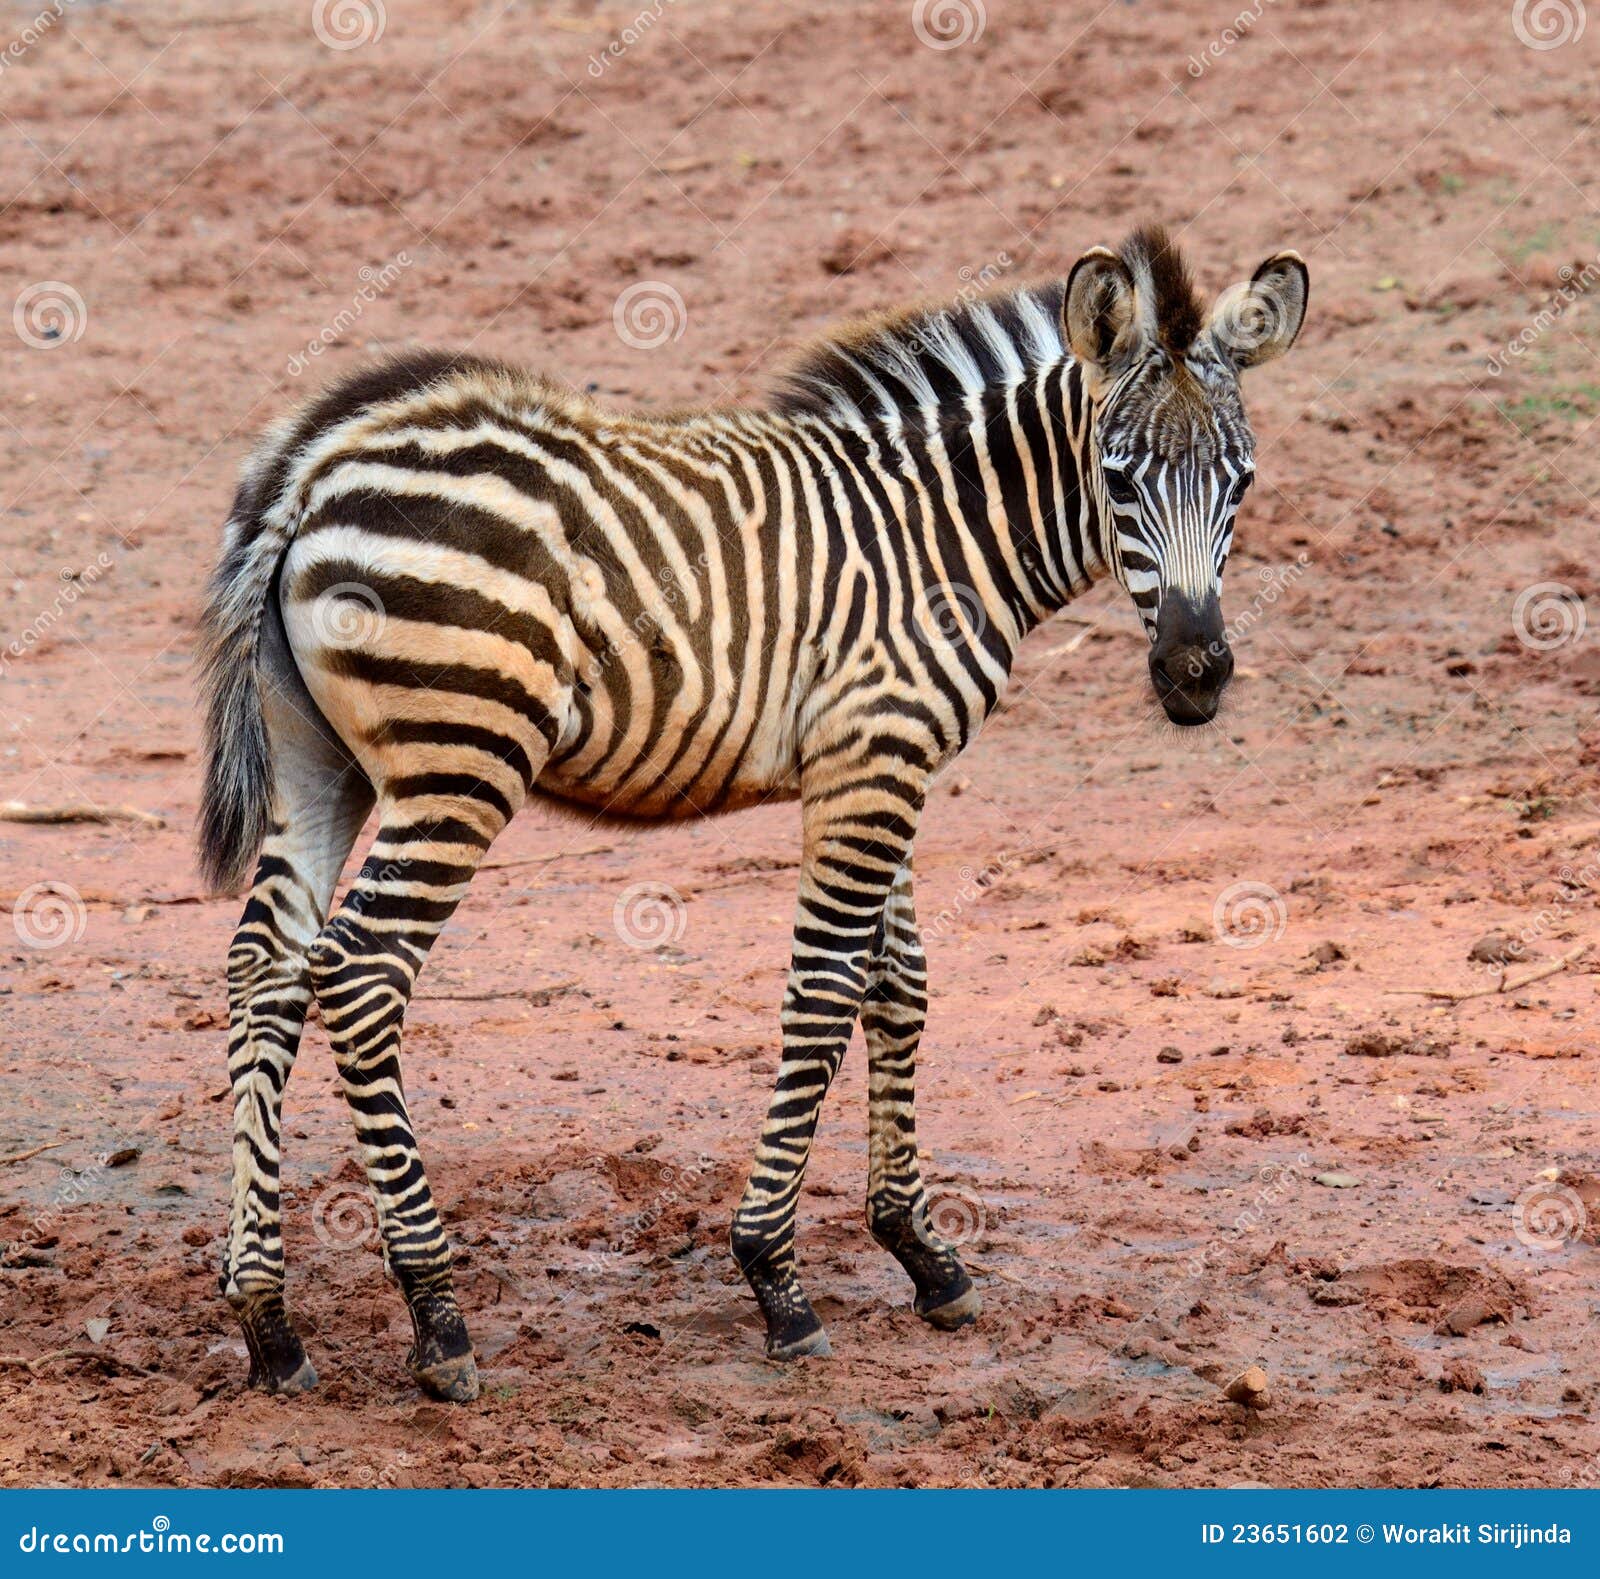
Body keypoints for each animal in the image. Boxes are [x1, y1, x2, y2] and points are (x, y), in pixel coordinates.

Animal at [199, 225, 1307, 1401]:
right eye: (1117, 478)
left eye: (1241, 482)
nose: (1195, 677)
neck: (943, 534)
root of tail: (320, 462)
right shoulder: (875, 756)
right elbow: (824, 995)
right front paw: (776, 1278)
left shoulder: (879, 757)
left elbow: (898, 984)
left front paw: (923, 1252)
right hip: (461, 762)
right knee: (360, 974)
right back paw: (436, 1315)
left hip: (321, 762)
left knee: (265, 965)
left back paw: (269, 1316)